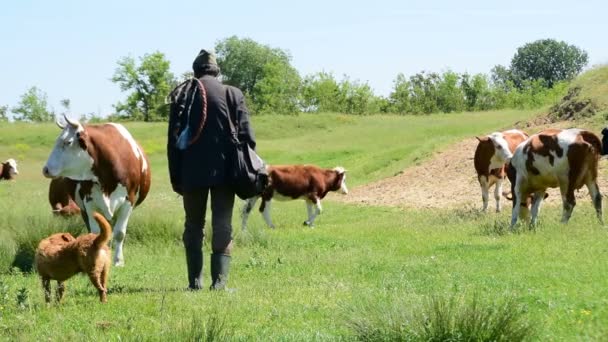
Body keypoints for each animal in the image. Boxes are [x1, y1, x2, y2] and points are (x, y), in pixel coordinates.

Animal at [41, 116, 151, 266]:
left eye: (67, 142)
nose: (45, 169)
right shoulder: (89, 202)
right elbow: (95, 233)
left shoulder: (128, 201)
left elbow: (119, 233)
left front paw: (118, 261)